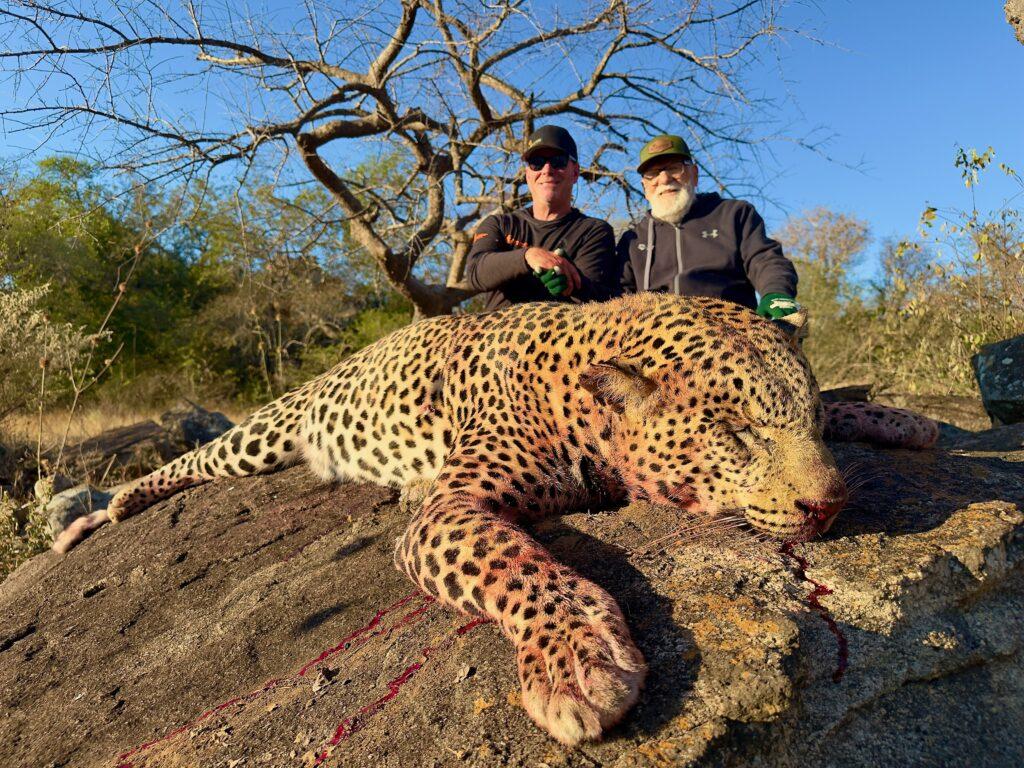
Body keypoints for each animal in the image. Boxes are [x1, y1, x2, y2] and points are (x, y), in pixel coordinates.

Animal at [52, 293, 937, 746]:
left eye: (807, 418)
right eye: (737, 432)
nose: (827, 505)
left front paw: (899, 418)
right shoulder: (454, 507)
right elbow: (520, 566)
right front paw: (577, 661)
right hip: (270, 430)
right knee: (199, 458)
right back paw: (100, 513)